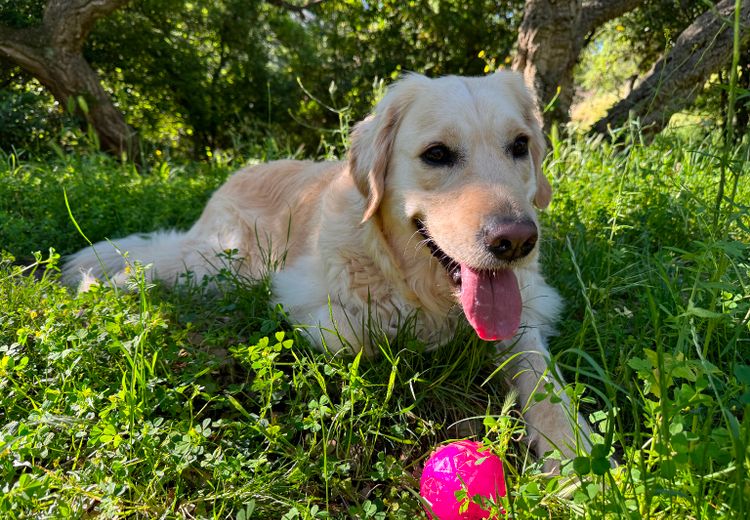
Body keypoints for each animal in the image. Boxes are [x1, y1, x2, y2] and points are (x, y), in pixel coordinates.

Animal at [63, 72, 592, 472]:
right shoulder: (302, 295)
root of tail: (239, 172)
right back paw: (104, 288)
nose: (517, 241)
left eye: (520, 146)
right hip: (222, 262)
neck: (421, 286)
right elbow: (360, 336)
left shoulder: (527, 309)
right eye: (437, 154)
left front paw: (573, 449)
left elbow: (542, 377)